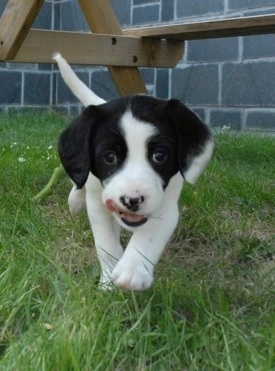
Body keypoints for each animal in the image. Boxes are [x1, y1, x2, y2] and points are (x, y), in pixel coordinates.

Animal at [54, 53, 215, 292]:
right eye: (109, 157)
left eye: (160, 155)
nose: (132, 200)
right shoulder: (98, 206)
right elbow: (106, 246)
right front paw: (108, 283)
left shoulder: (165, 205)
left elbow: (148, 235)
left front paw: (132, 270)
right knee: (79, 180)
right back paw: (75, 199)